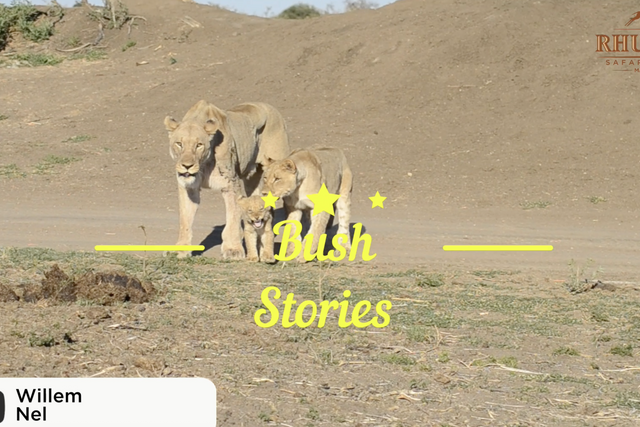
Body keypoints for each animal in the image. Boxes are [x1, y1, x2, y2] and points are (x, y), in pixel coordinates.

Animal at [164, 100, 290, 259]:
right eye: (179, 144)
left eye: (199, 145)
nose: (187, 166)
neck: (203, 164)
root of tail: (271, 107)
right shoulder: (188, 188)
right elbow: (185, 220)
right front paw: (180, 249)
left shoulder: (231, 184)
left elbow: (232, 219)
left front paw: (233, 249)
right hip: (252, 179)